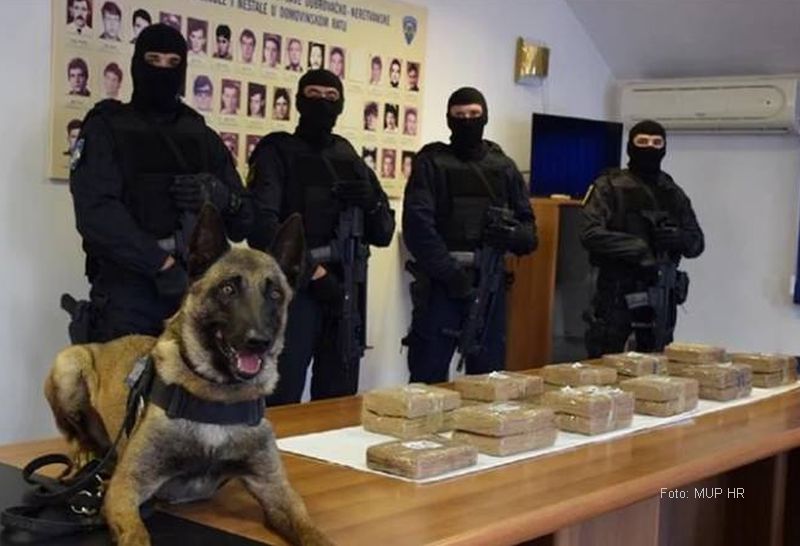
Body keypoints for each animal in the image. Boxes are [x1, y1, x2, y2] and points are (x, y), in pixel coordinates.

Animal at [44, 205, 334, 546]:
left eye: (274, 293)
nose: (258, 341)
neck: (217, 396)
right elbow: (137, 536)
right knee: (74, 434)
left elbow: (313, 532)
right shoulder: (125, 488)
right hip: (69, 365)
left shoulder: (276, 491)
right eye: (227, 289)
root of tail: (106, 343)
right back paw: (85, 453)